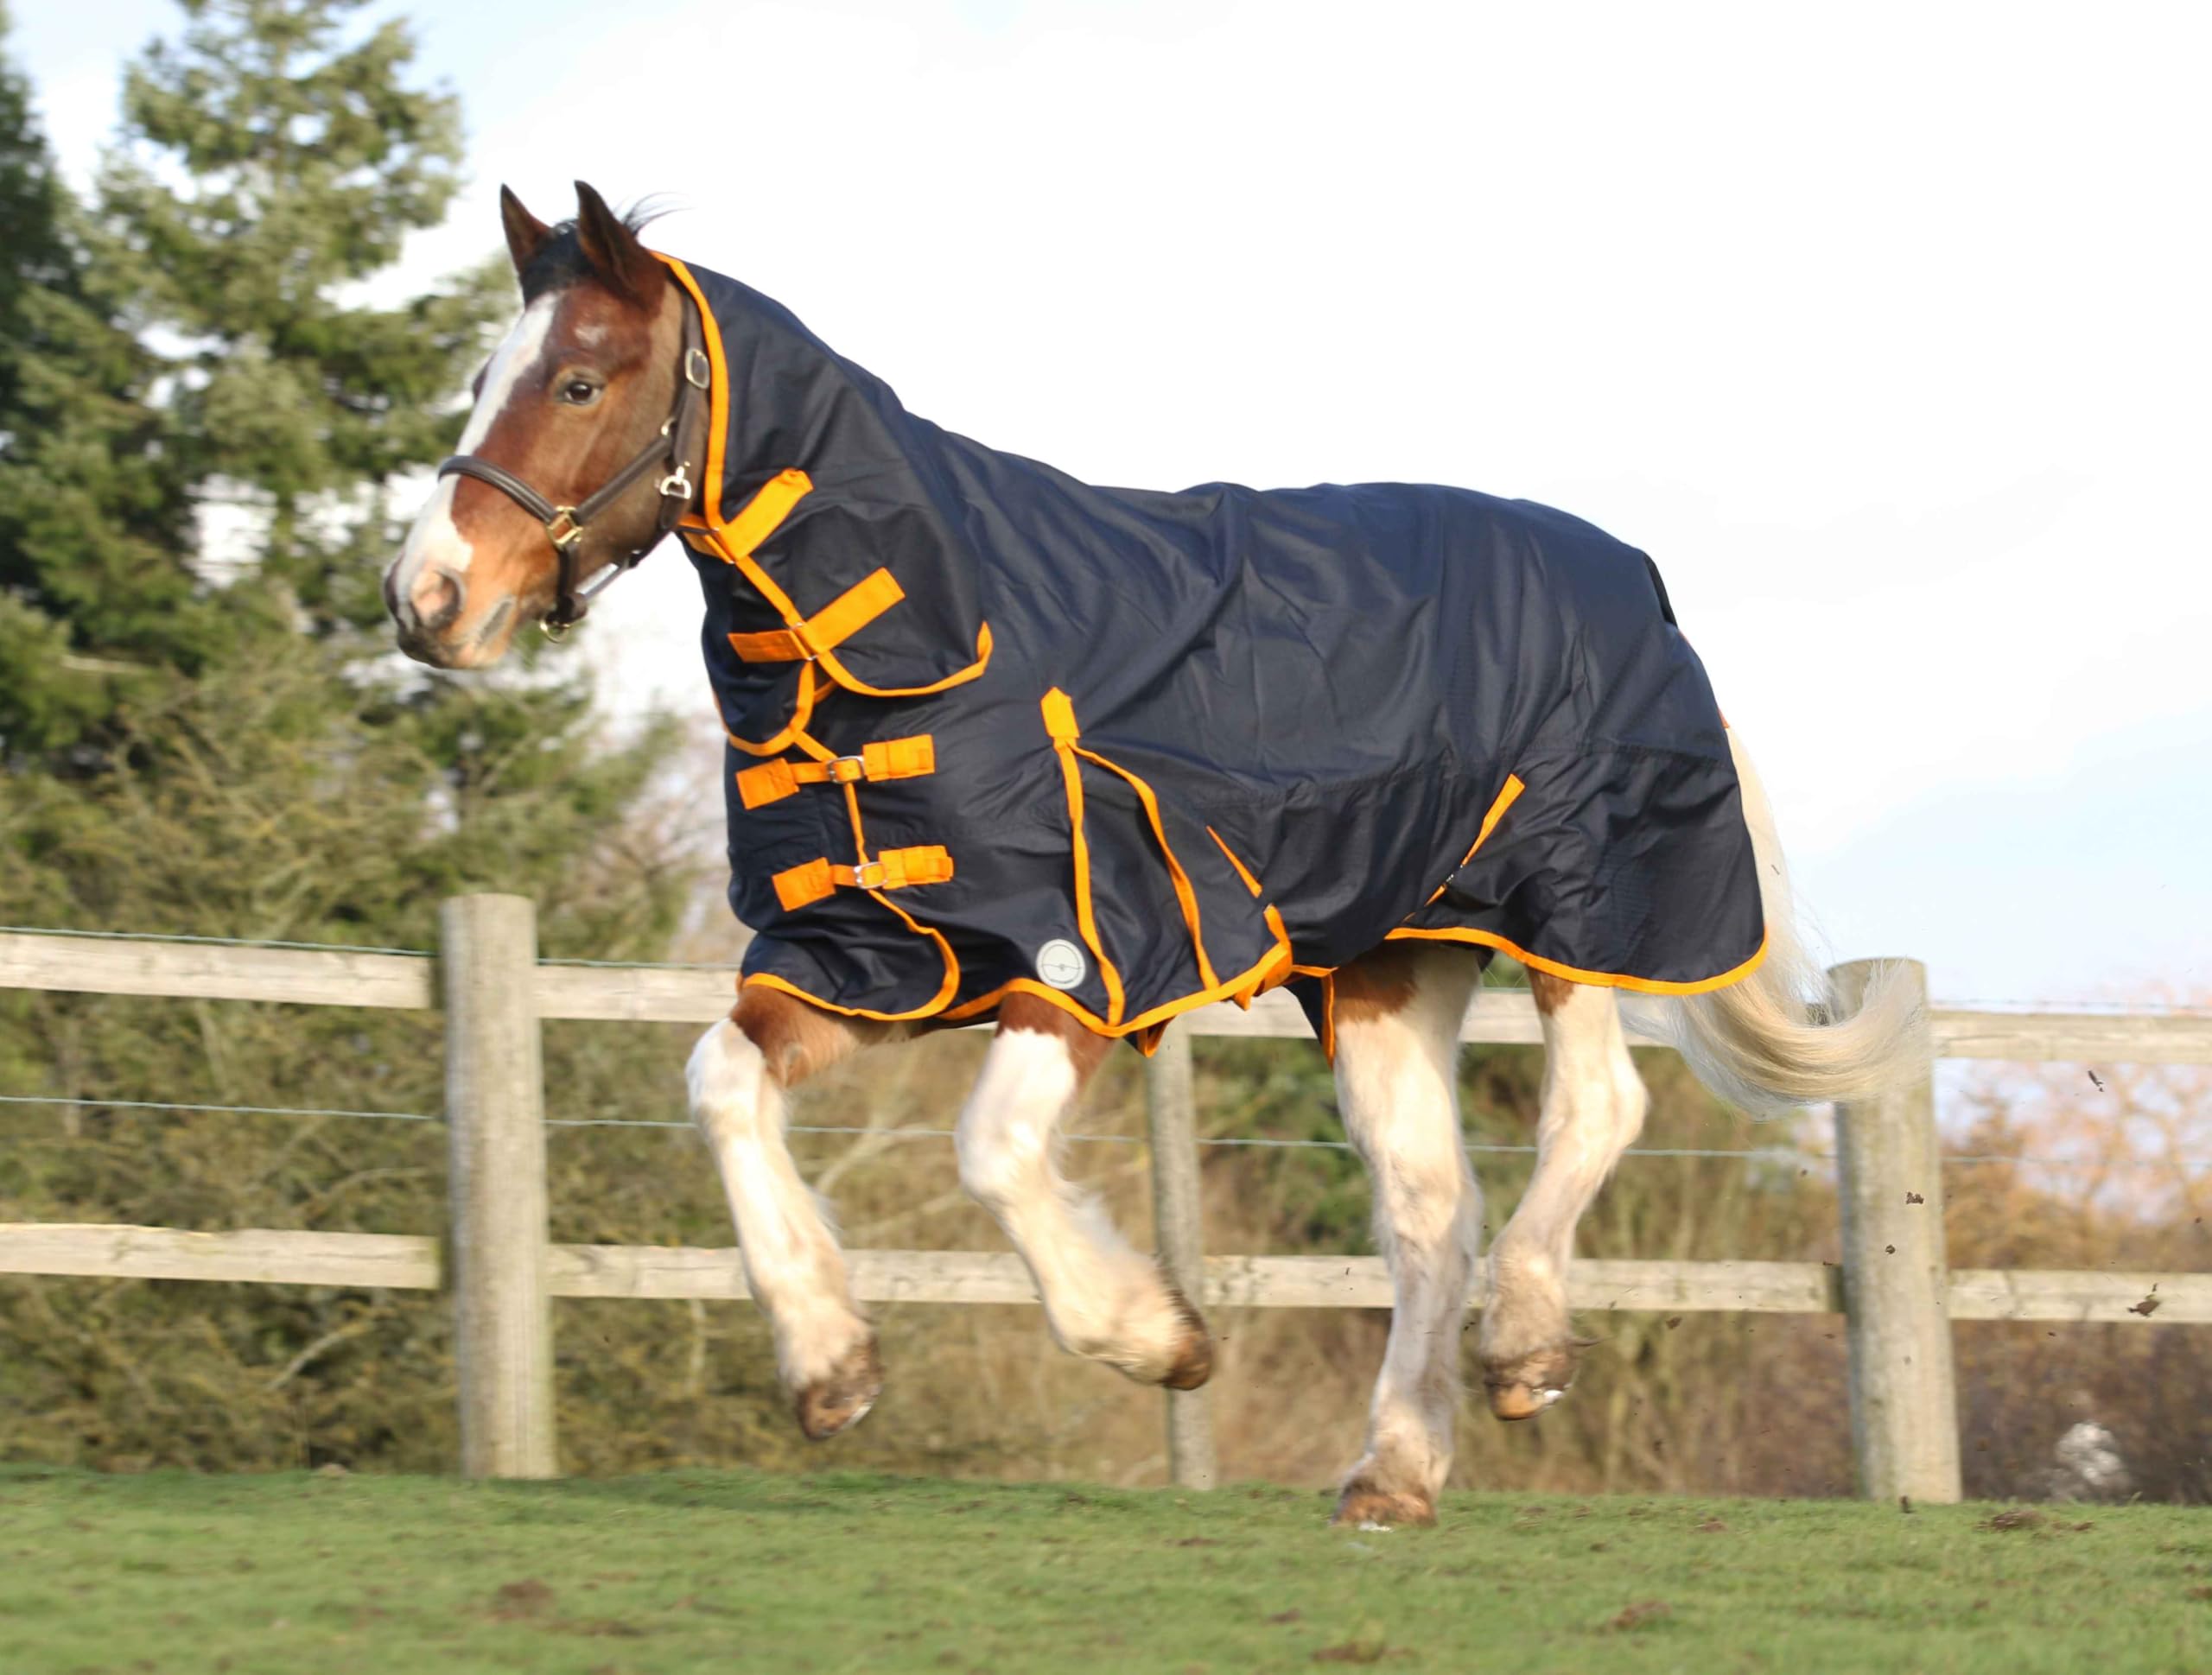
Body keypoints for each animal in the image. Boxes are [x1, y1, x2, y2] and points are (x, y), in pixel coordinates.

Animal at [384, 181, 1918, 1528]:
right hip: (1387, 965)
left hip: (1572, 915)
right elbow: (720, 1079)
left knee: (1595, 1111)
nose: (428, 599)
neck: (920, 634)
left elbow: (994, 1148)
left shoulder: (1087, 951)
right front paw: (831, 1364)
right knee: (1428, 1206)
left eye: (578, 384)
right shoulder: (870, 955)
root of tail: (1636, 582)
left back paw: (1523, 1347)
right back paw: (1392, 1474)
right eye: (480, 374)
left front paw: (1155, 1336)